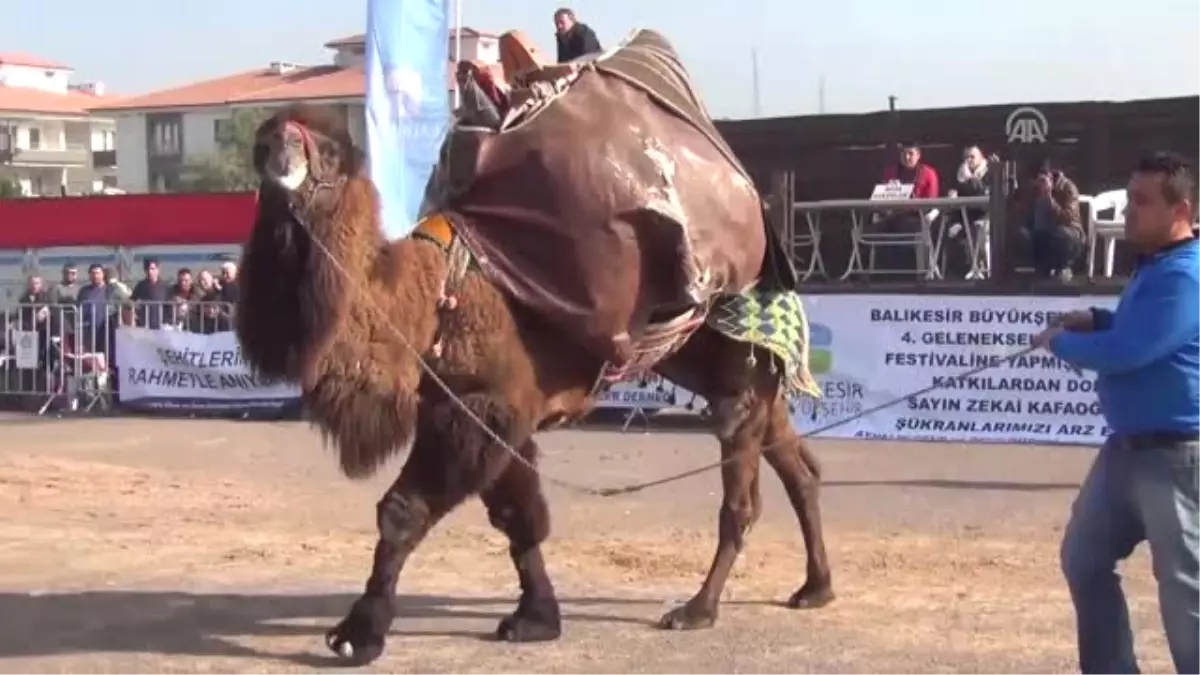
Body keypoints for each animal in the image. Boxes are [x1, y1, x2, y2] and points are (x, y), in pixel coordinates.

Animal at [235, 32, 835, 662]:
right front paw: (536, 617)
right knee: (797, 463)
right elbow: (519, 516)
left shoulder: (482, 406)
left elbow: (403, 512)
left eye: (329, 151)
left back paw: (697, 609)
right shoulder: (489, 412)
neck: (427, 299)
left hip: (736, 361)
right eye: (262, 140)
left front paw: (360, 633)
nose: (279, 152)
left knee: (741, 494)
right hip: (720, 364)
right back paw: (814, 587)